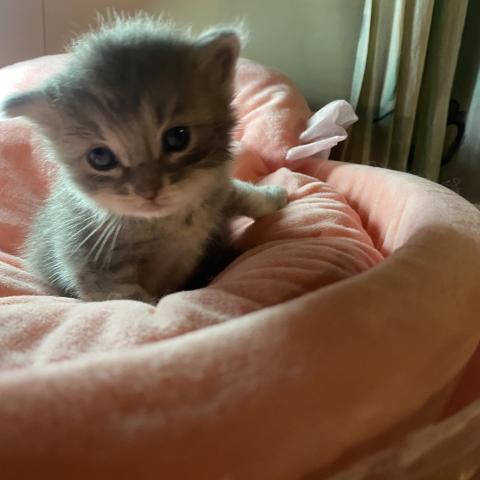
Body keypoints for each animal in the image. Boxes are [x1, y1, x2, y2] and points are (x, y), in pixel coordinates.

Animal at [1, 14, 288, 302]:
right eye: (100, 157)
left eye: (177, 137)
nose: (148, 190)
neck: (169, 223)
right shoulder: (90, 265)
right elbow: (133, 300)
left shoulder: (215, 187)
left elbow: (240, 193)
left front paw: (275, 197)